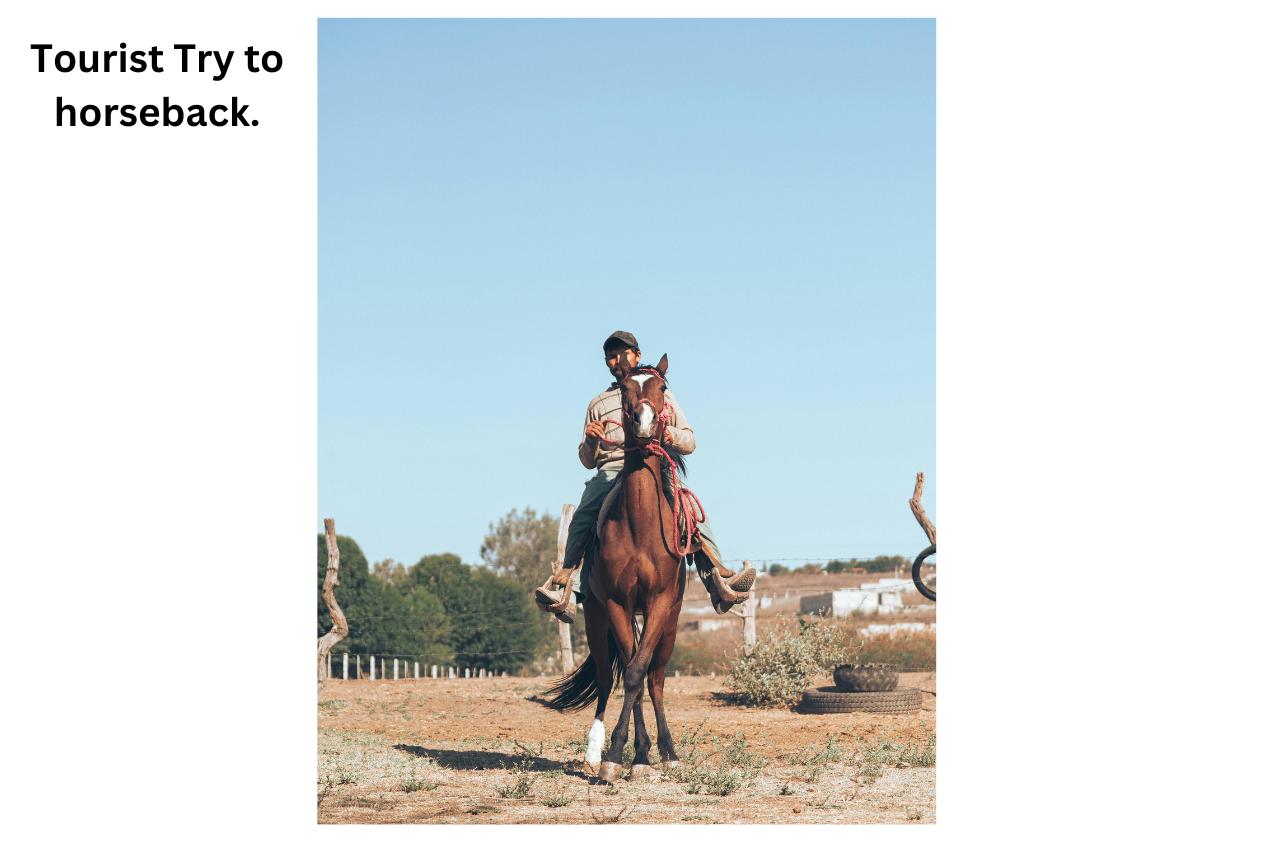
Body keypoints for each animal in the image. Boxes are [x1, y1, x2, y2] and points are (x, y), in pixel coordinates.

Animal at [545, 353, 696, 783]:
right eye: (626, 387)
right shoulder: (615, 604)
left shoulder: (660, 604)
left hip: (670, 622)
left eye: (662, 388)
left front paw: (645, 754)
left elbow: (639, 673)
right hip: (598, 618)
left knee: (655, 679)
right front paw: (617, 755)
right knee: (604, 678)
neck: (640, 527)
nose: (644, 423)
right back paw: (597, 753)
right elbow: (628, 673)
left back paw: (668, 753)